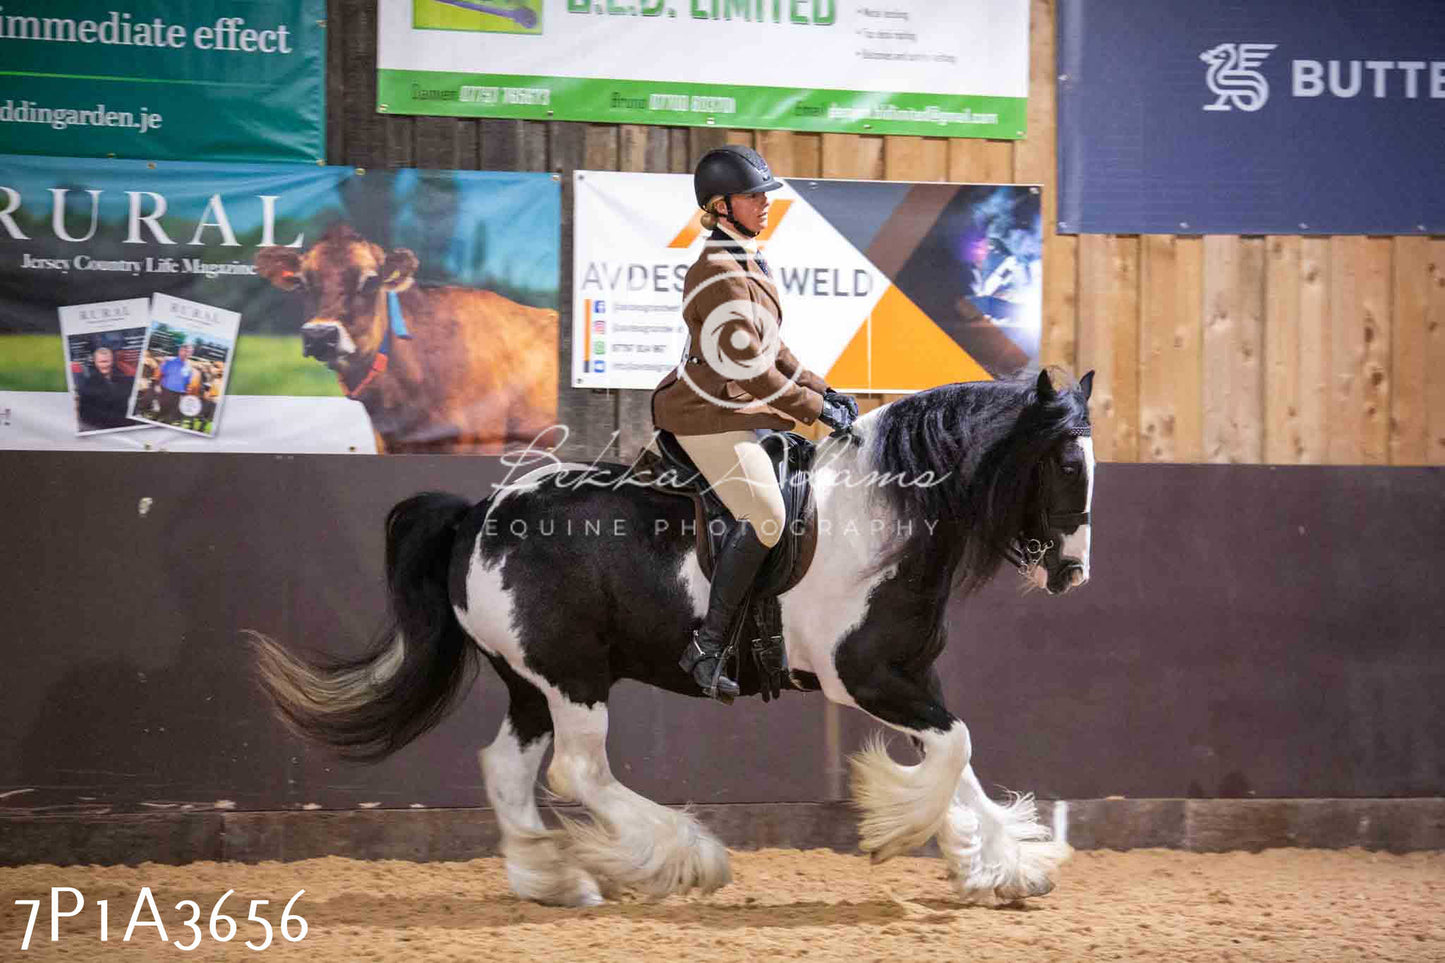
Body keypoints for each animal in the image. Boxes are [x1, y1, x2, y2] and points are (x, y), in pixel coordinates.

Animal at [254, 364, 1098, 902]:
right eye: (1063, 461)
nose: (1072, 571)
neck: (884, 512)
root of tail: (477, 515)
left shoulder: (911, 675)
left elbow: (957, 756)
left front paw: (997, 864)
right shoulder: (863, 677)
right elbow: (952, 751)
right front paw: (905, 832)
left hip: (530, 681)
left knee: (506, 768)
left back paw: (553, 880)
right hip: (572, 676)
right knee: (578, 773)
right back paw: (682, 860)